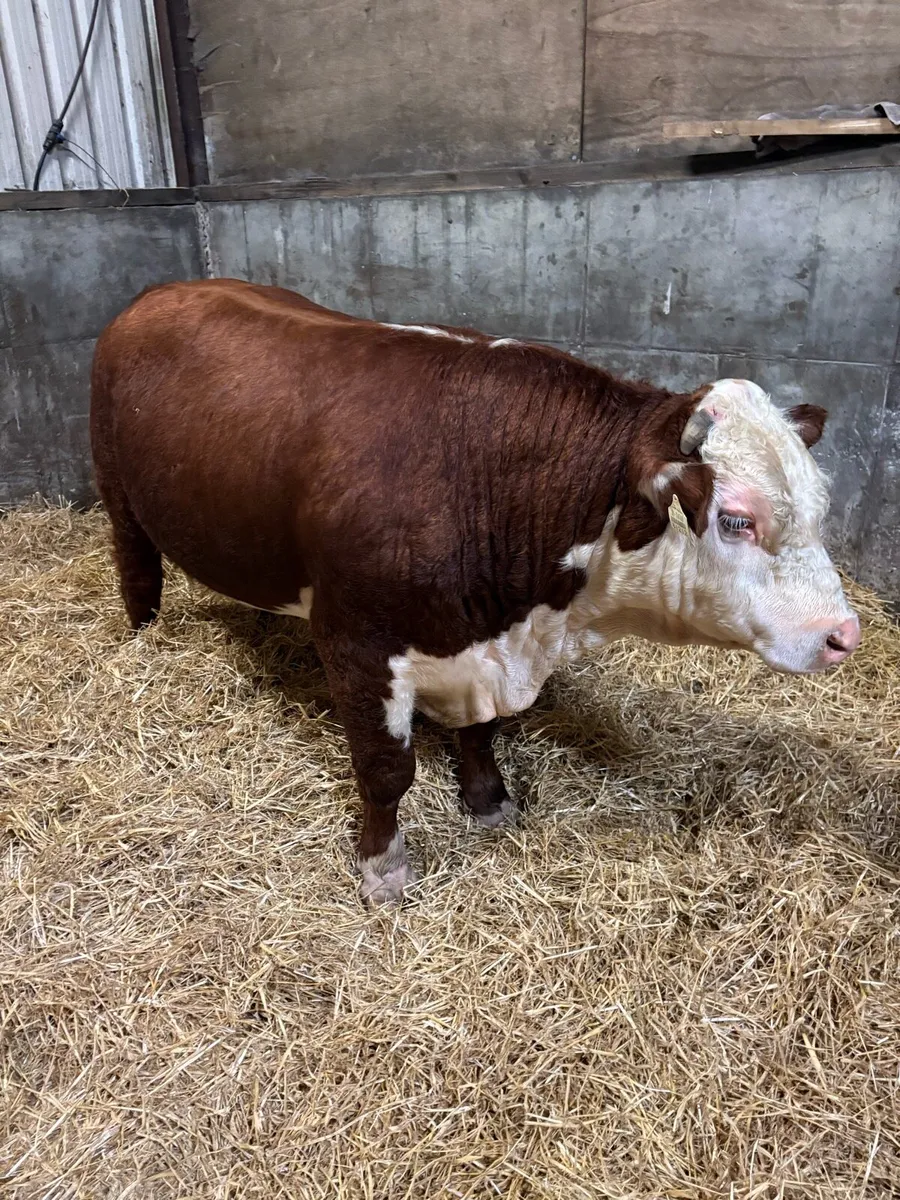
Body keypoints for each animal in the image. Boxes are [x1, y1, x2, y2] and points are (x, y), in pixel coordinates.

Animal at [90, 279, 860, 905]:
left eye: (820, 505)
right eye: (736, 519)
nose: (843, 635)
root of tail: (162, 292)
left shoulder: (481, 645)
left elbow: (480, 733)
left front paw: (489, 800)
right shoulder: (356, 642)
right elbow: (385, 771)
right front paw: (383, 867)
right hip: (119, 493)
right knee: (138, 572)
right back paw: (143, 641)